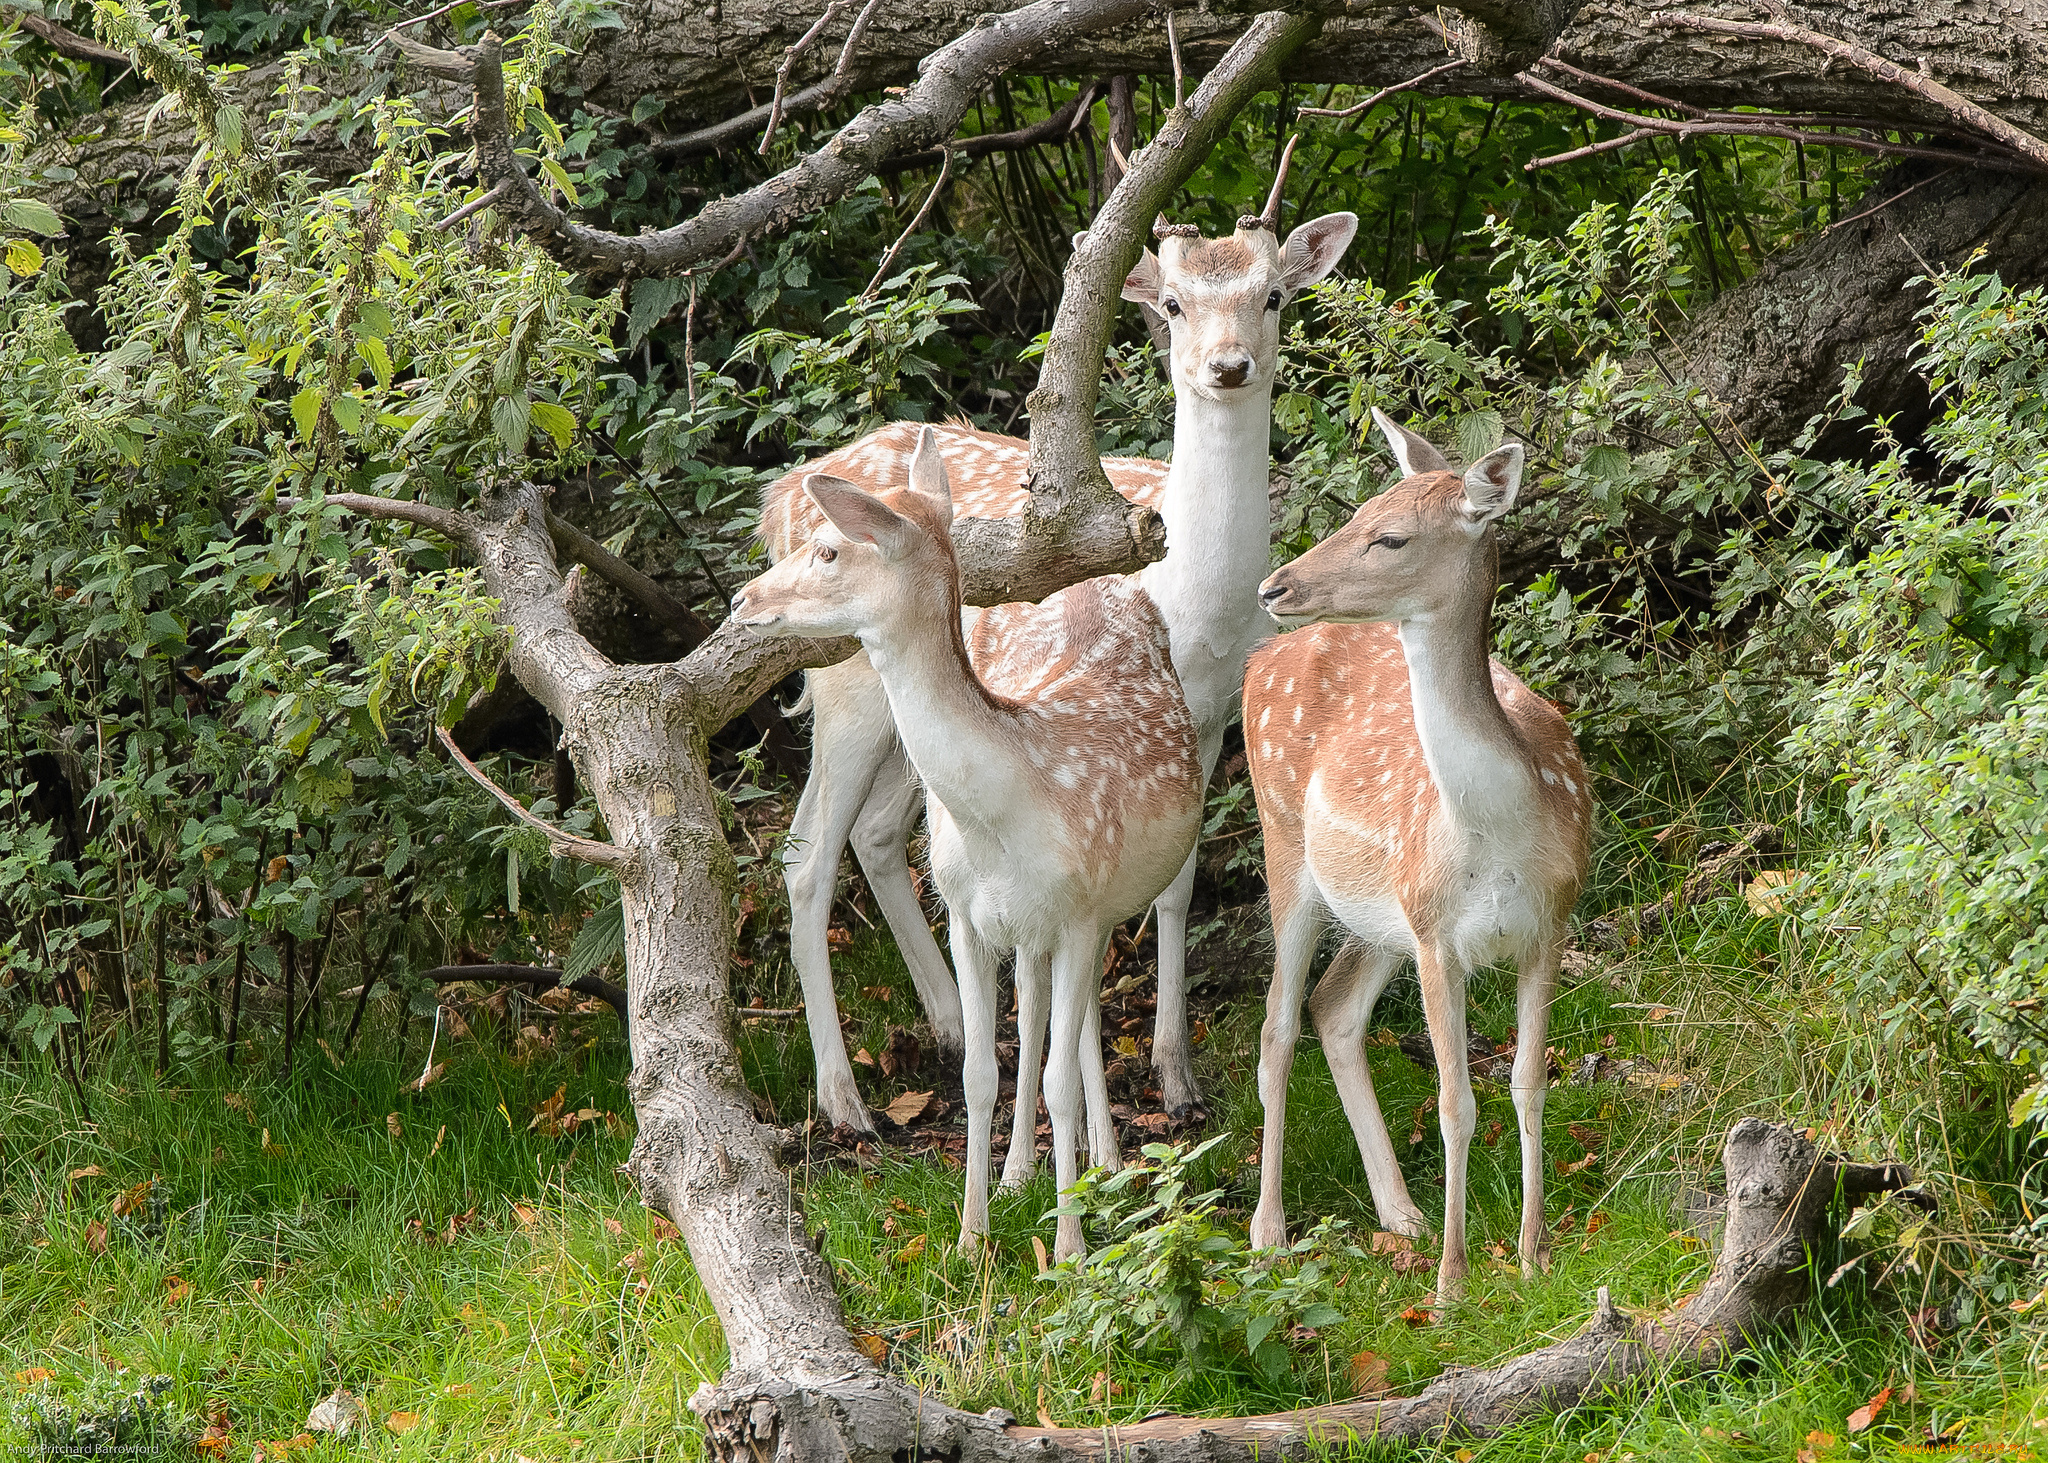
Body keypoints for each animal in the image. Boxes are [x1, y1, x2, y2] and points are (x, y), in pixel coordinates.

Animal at [737, 428, 1204, 1262]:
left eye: (829, 549)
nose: (741, 601)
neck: (1009, 804)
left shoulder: (1078, 911)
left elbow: (1054, 1075)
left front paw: (1072, 1250)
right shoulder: (964, 916)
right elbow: (982, 1073)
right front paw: (969, 1237)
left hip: (1099, 905)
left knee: (1075, 1025)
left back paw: (1104, 1166)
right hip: (1029, 925)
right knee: (1046, 1013)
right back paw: (1032, 1173)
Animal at [757, 150, 1359, 1147]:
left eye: (1273, 294)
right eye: (1173, 305)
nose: (1229, 366)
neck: (1196, 602)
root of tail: (779, 502)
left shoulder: (1206, 717)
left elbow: (1176, 883)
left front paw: (1177, 1077)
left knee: (878, 835)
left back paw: (952, 1023)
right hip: (842, 681)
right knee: (806, 856)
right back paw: (847, 1102)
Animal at [1236, 407, 1589, 1303]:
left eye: (1389, 535)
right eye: (1358, 511)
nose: (1273, 586)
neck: (1499, 831)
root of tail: (1261, 657)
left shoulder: (1549, 922)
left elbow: (1529, 1082)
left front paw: (1533, 1255)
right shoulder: (1439, 939)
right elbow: (1456, 1100)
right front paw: (1453, 1282)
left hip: (1382, 913)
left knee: (1333, 1008)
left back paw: (1401, 1212)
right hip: (1287, 847)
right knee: (1277, 1023)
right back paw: (1269, 1229)